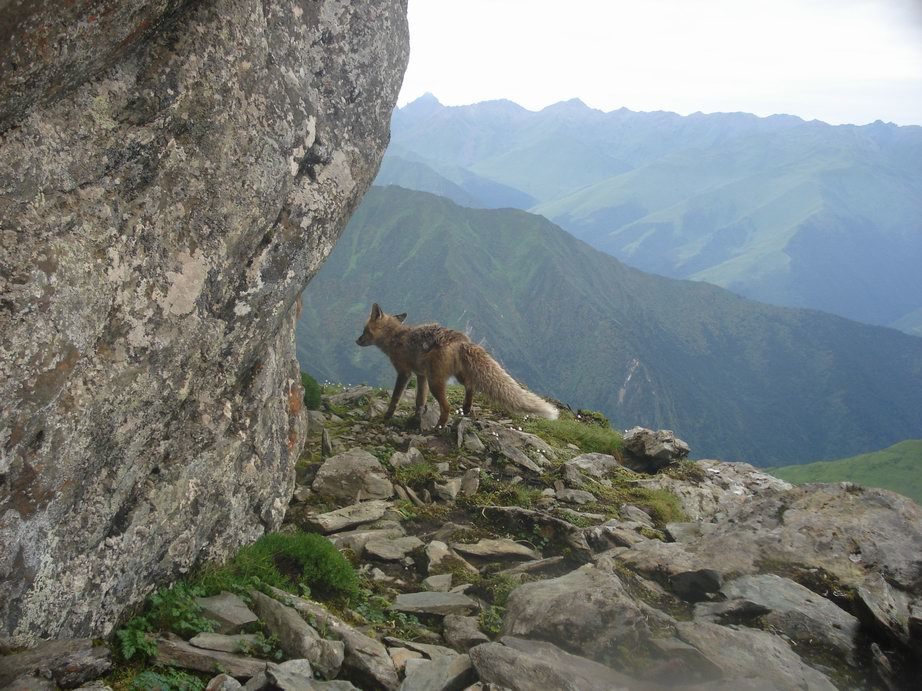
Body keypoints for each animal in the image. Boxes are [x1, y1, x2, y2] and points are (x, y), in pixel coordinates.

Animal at [356, 302, 556, 428]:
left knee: (447, 407)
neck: (396, 337)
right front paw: (416, 418)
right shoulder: (421, 375)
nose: (356, 341)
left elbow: (395, 398)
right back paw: (466, 408)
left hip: (436, 382)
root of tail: (461, 341)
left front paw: (388, 416)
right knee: (471, 386)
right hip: (456, 375)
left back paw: (439, 426)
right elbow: (420, 400)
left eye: (364, 330)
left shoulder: (405, 373)